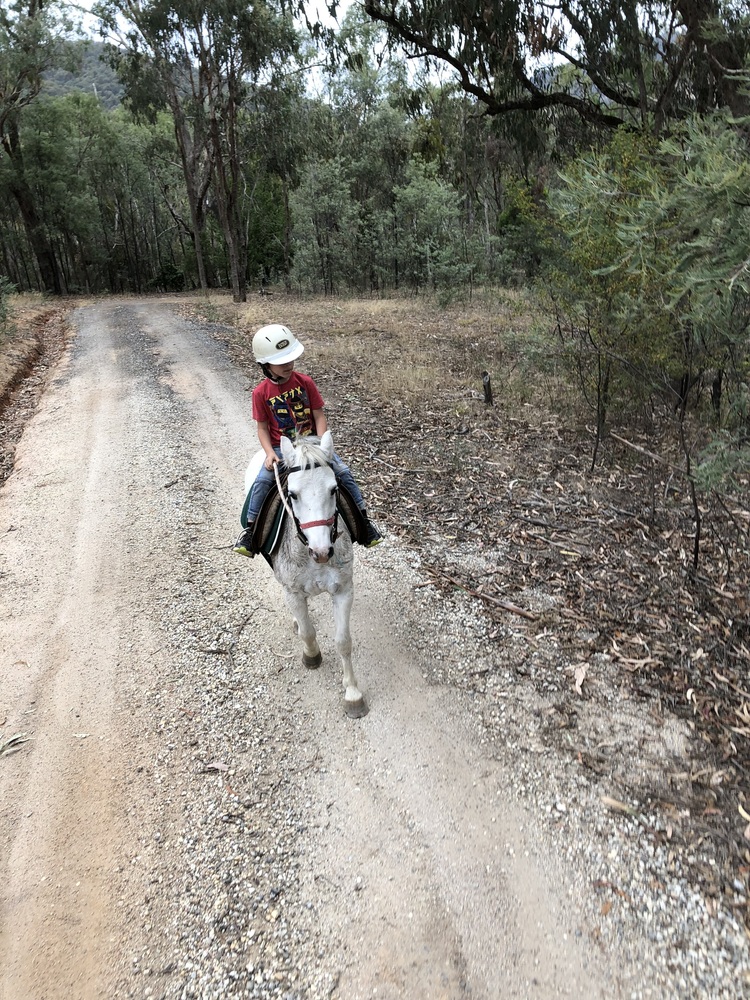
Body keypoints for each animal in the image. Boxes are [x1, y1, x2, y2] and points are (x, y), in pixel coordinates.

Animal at [244, 431, 368, 719]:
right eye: (292, 494)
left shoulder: (344, 589)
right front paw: (312, 656)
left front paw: (352, 693)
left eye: (334, 489)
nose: (323, 552)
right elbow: (308, 633)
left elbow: (344, 641)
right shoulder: (292, 590)